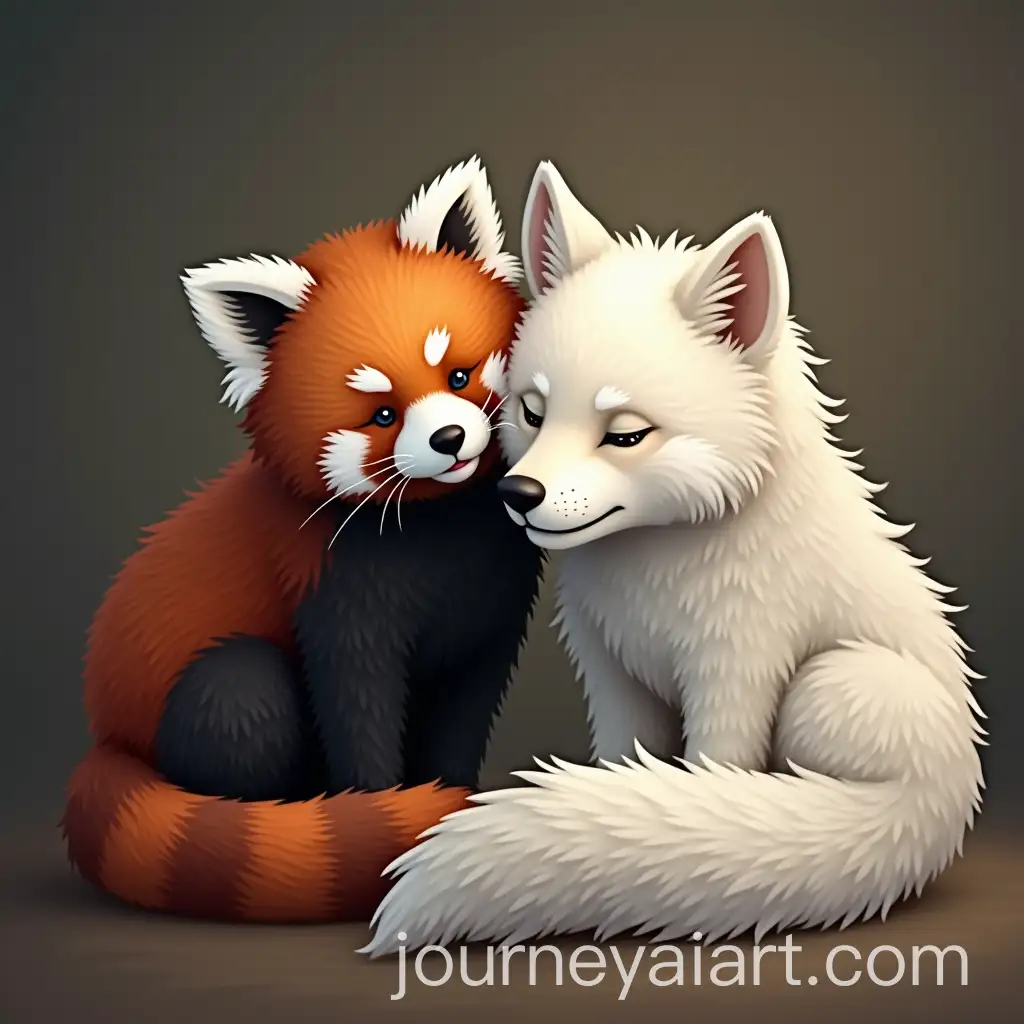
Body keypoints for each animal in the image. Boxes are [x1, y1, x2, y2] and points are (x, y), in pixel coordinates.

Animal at [361, 160, 985, 954]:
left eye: (625, 435)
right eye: (533, 411)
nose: (517, 493)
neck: (655, 577)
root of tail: (956, 794)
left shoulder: (739, 669)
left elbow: (715, 773)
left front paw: (705, 817)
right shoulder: (611, 670)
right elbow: (624, 762)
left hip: (832, 685)